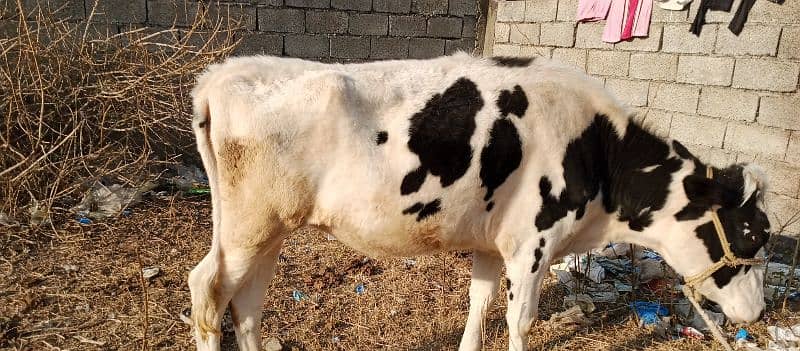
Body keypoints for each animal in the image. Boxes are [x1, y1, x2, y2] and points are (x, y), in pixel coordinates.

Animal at [184, 52, 772, 351]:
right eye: (750, 234)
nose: (760, 311)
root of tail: (222, 73)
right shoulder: (534, 243)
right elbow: (520, 320)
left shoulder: (494, 241)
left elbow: (479, 305)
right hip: (249, 225)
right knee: (209, 290)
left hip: (267, 228)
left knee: (248, 303)